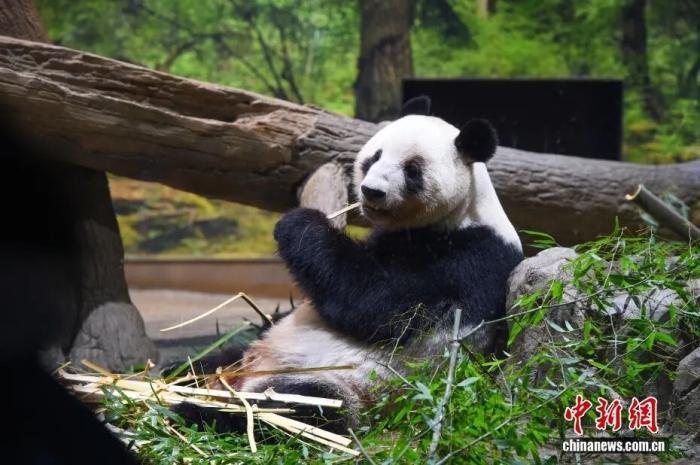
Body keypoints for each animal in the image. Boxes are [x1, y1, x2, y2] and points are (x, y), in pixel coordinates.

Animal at [176, 96, 523, 433]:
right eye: (375, 156)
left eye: (412, 170)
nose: (372, 191)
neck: (461, 215)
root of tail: (246, 374)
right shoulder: (388, 239)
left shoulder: (470, 259)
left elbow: (381, 307)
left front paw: (300, 223)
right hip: (249, 353)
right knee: (209, 358)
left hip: (340, 383)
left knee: (298, 405)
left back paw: (198, 411)